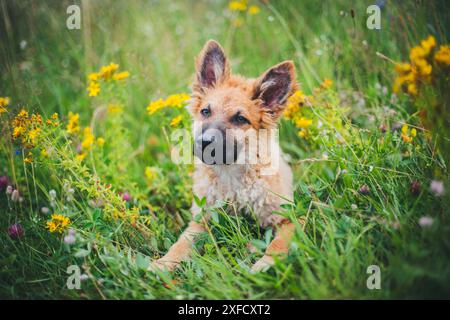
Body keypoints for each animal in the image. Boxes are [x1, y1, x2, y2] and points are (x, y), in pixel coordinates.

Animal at [153, 38, 298, 272]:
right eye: (205, 111)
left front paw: (265, 264)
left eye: (240, 119)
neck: (231, 176)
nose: (204, 143)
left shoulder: (288, 220)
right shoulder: (200, 222)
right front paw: (163, 263)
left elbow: (277, 244)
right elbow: (180, 244)